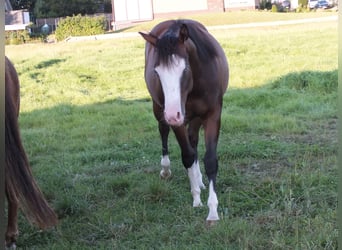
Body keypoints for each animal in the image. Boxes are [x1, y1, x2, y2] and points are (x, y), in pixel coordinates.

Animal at [139, 18, 230, 224]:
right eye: (157, 72)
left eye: (185, 68)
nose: (173, 114)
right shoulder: (177, 119)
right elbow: (187, 155)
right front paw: (196, 198)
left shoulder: (213, 115)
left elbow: (209, 160)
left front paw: (213, 211)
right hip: (160, 110)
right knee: (164, 131)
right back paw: (167, 169)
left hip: (193, 117)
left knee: (193, 140)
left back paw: (200, 179)